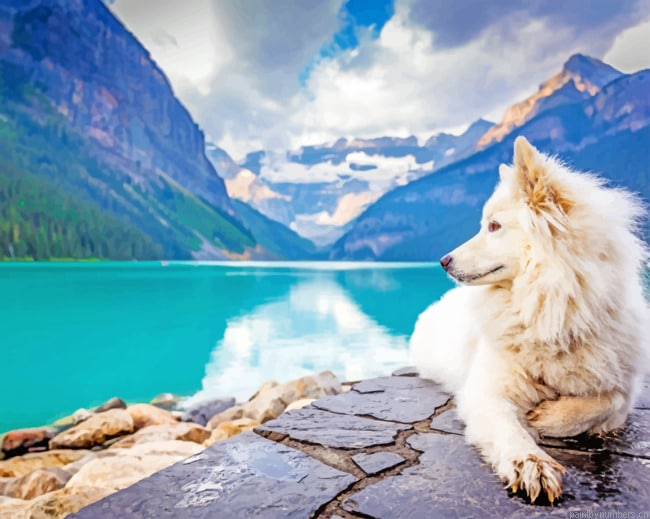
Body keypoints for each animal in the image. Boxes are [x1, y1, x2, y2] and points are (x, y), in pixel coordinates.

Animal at [410, 136, 649, 503]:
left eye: (494, 226)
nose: (443, 261)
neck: (551, 311)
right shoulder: (487, 391)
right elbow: (510, 431)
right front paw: (530, 463)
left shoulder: (624, 387)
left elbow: (606, 401)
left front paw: (549, 418)